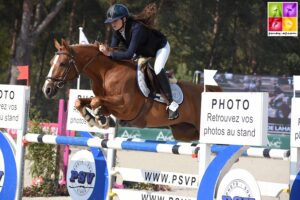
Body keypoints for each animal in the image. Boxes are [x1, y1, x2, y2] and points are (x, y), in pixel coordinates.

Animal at [42, 39, 221, 141]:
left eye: (62, 64)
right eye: (51, 62)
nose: (47, 90)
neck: (106, 72)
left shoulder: (126, 107)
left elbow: (95, 101)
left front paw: (100, 118)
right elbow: (81, 101)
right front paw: (95, 119)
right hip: (184, 132)